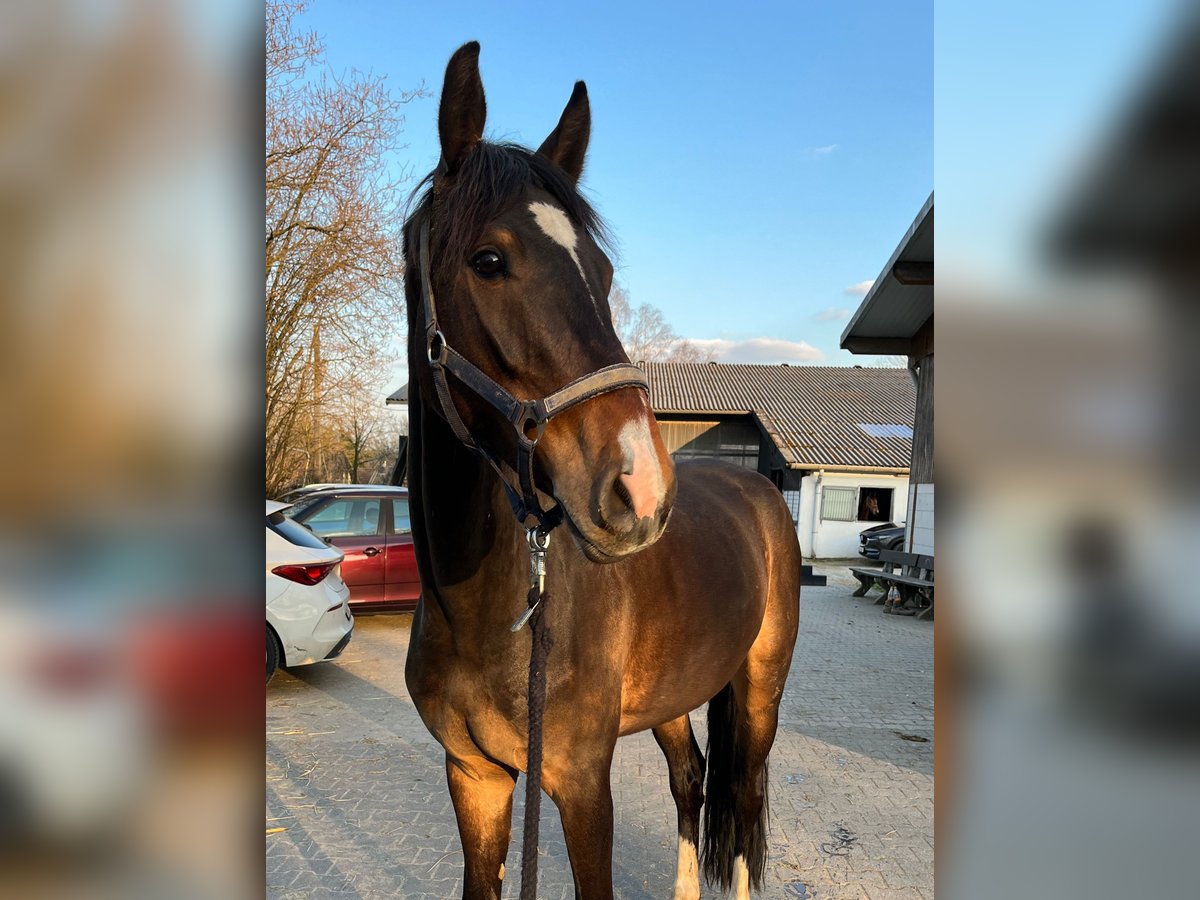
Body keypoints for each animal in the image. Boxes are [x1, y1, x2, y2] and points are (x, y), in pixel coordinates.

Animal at [398, 44, 801, 900]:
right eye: (488, 260)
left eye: (604, 272)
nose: (640, 485)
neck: (485, 612)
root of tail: (759, 491)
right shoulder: (474, 778)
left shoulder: (583, 785)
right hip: (675, 696)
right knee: (693, 780)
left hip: (760, 690)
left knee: (745, 796)